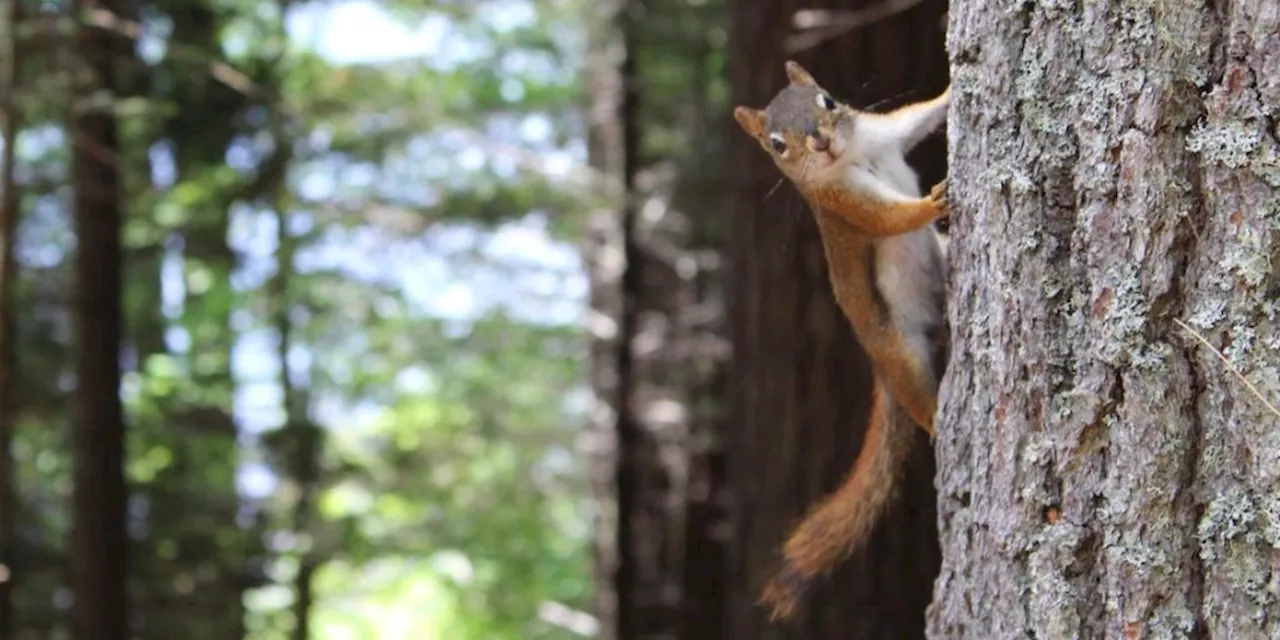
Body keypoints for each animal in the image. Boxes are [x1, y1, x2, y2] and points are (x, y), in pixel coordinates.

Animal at [732, 60, 952, 619]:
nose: (821, 142)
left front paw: (953, 87)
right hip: (900, 354)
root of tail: (879, 369)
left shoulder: (884, 133)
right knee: (919, 400)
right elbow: (888, 218)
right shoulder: (842, 203)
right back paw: (938, 423)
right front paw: (930, 202)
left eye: (828, 101)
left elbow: (919, 117)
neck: (853, 155)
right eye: (776, 145)